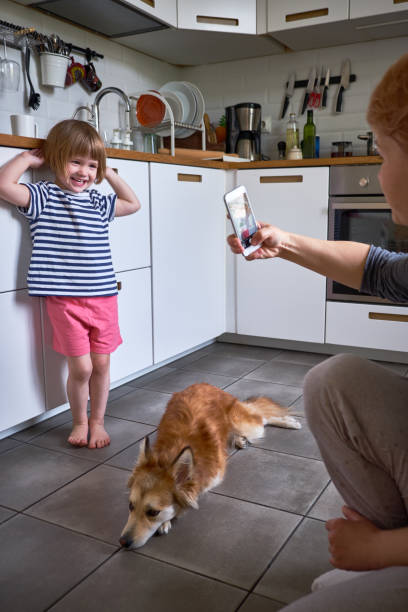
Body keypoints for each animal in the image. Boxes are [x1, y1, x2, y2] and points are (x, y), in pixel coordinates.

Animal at [118, 382, 300, 548]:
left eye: (153, 512)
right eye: (131, 506)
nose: (122, 542)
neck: (171, 452)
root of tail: (205, 384)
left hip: (246, 424)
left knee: (262, 415)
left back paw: (289, 422)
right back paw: (240, 439)